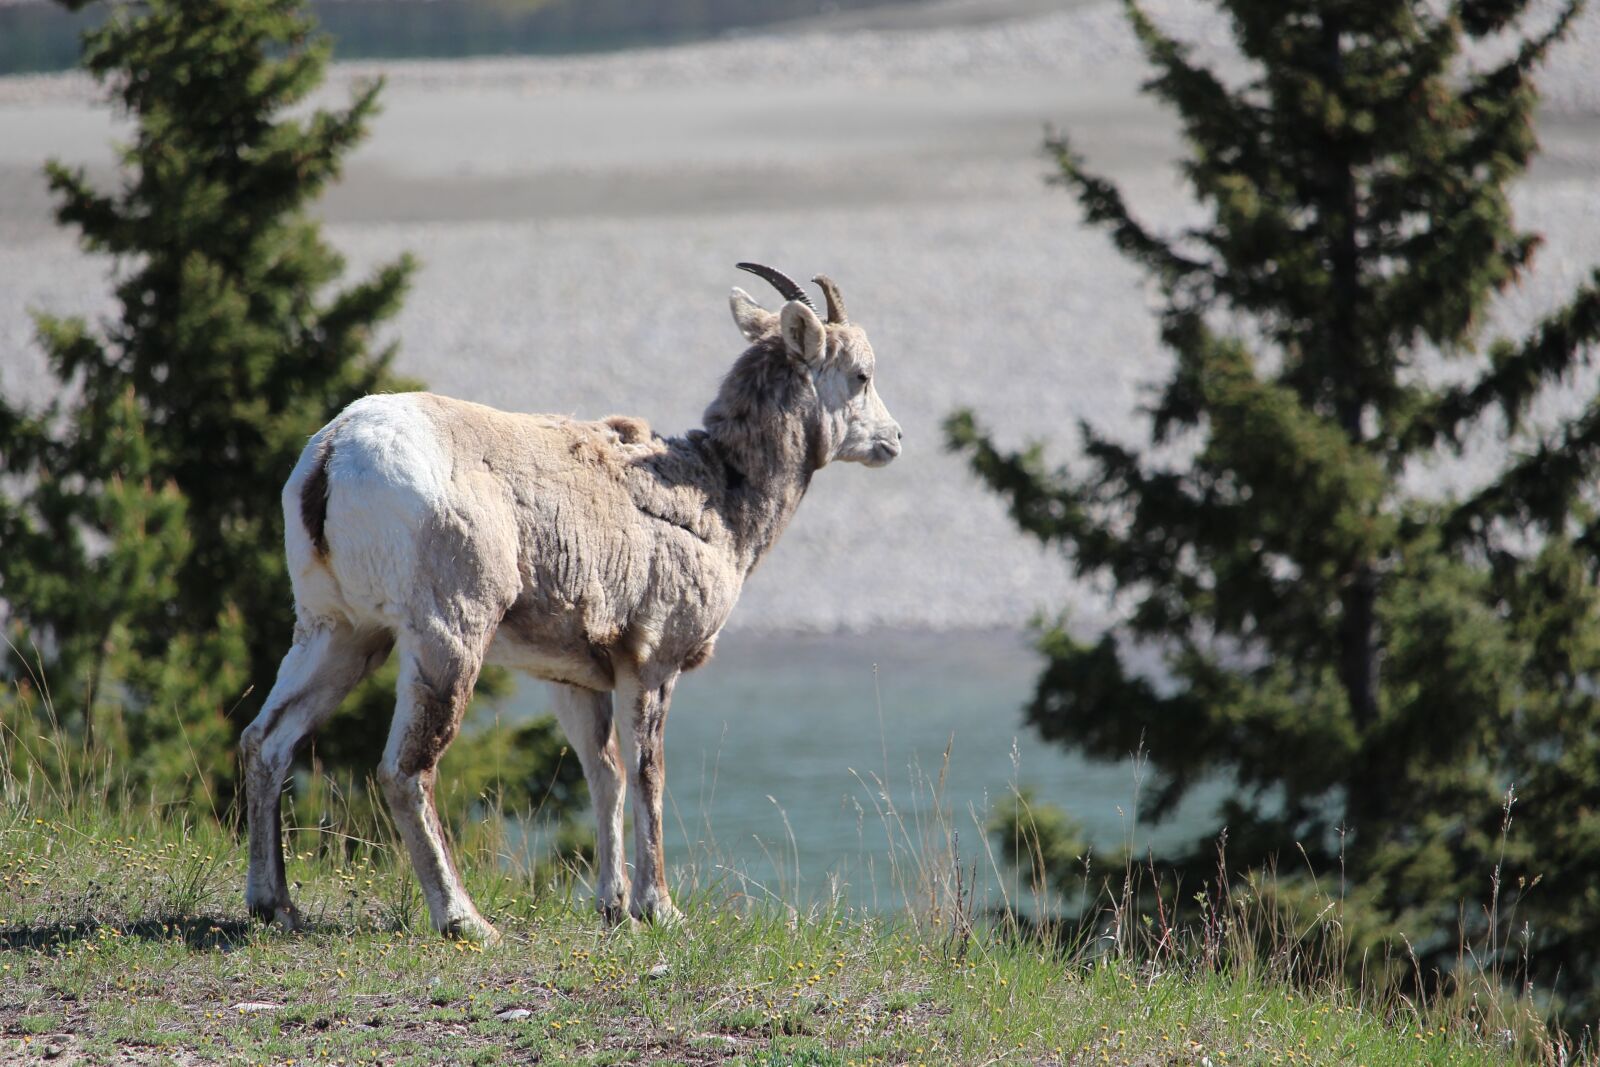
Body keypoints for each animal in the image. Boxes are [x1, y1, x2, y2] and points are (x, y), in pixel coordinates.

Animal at [240, 265, 902, 940]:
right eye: (862, 374)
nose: (894, 439)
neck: (720, 500)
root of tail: (333, 456)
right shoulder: (652, 664)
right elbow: (647, 774)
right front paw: (659, 909)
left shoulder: (574, 678)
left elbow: (604, 774)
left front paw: (613, 907)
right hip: (448, 637)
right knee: (405, 770)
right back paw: (465, 921)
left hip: (338, 631)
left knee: (266, 740)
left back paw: (276, 907)